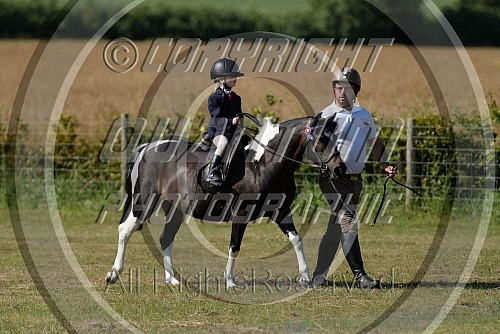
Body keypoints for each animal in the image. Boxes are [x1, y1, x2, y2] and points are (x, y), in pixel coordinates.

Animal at [105, 115, 340, 288]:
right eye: (321, 140)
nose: (338, 168)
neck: (262, 164)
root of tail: (146, 148)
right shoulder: (241, 214)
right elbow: (234, 246)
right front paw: (229, 281)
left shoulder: (281, 212)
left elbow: (296, 239)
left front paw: (305, 277)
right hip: (143, 202)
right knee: (125, 230)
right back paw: (113, 274)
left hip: (175, 209)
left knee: (165, 239)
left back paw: (172, 279)